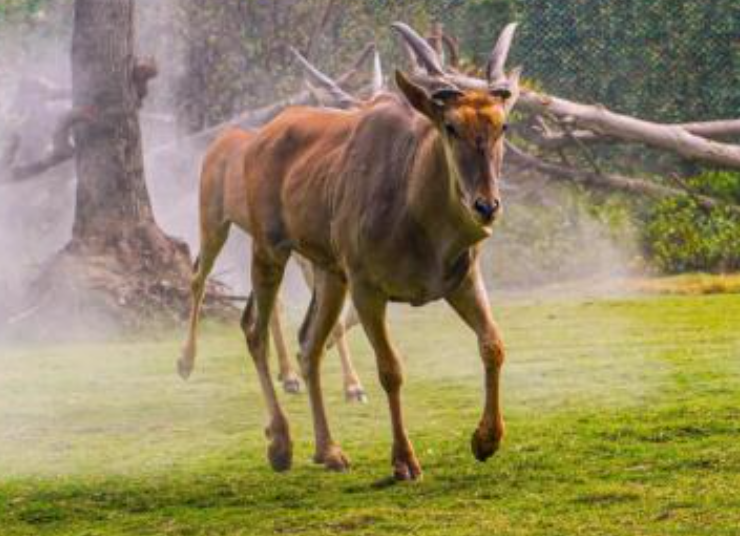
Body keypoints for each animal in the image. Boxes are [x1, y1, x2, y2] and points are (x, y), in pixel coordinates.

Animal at [185, 22, 520, 482]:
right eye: (450, 126)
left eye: (502, 126)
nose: (486, 206)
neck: (416, 207)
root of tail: (256, 139)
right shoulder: (367, 287)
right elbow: (391, 369)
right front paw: (403, 460)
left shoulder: (461, 280)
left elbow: (493, 344)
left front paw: (486, 439)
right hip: (269, 249)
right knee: (254, 327)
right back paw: (280, 441)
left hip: (329, 274)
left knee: (309, 343)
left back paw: (328, 449)